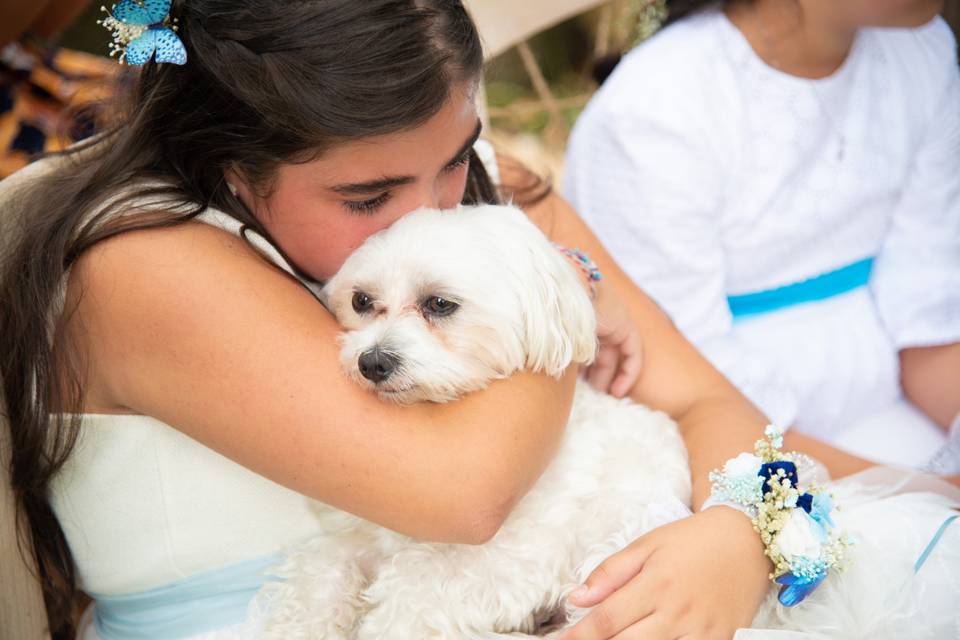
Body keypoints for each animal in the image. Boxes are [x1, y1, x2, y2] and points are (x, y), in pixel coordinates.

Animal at [255, 206, 688, 640]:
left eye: (440, 303)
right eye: (360, 300)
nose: (373, 362)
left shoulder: (508, 559)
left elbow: (411, 594)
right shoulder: (358, 538)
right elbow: (317, 573)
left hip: (619, 546)